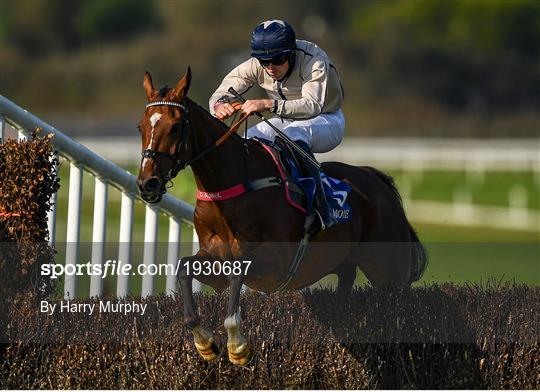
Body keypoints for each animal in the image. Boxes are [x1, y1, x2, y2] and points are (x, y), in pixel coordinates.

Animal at [134, 69, 426, 366]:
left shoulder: (277, 261)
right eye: (141, 127)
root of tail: (378, 181)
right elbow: (184, 268)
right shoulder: (214, 256)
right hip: (348, 265)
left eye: (175, 127)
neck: (235, 182)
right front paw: (204, 343)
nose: (148, 183)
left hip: (390, 272)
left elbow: (238, 271)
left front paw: (237, 345)